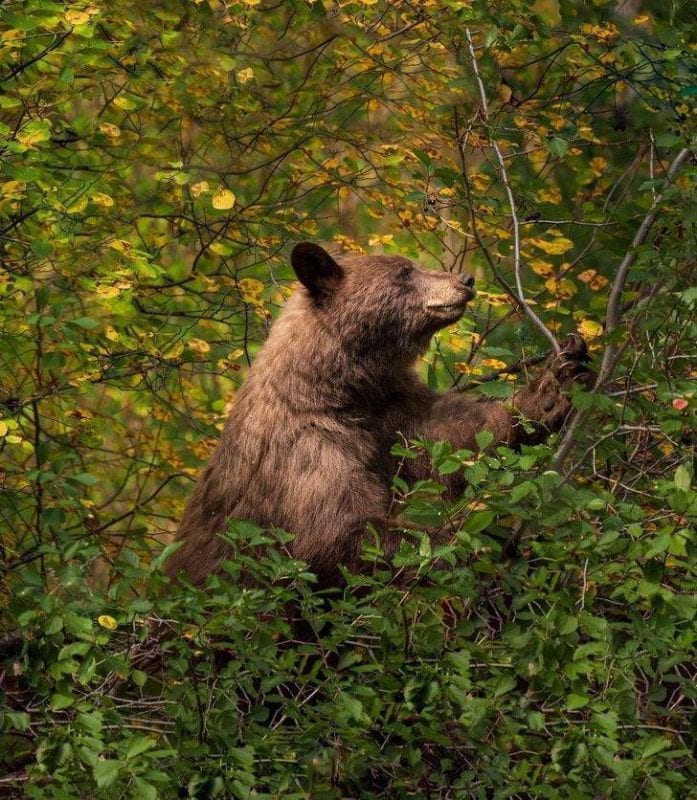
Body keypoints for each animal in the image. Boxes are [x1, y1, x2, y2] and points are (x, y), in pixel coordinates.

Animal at [166, 244, 588, 588]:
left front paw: (555, 385)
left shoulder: (388, 409)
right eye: (404, 272)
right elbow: (341, 532)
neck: (336, 387)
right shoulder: (307, 450)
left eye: (412, 264)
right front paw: (465, 548)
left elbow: (448, 435)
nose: (465, 280)